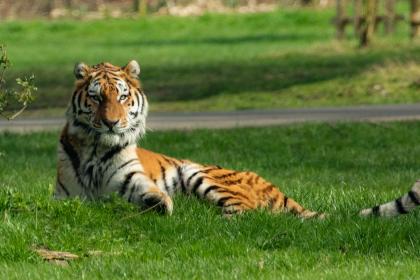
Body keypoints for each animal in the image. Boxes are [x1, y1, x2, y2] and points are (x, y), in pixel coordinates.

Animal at [55, 60, 324, 219]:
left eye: (122, 97)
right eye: (97, 97)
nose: (111, 122)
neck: (97, 150)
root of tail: (262, 179)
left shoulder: (132, 178)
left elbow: (148, 191)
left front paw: (160, 203)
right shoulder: (64, 195)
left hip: (200, 174)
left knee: (248, 209)